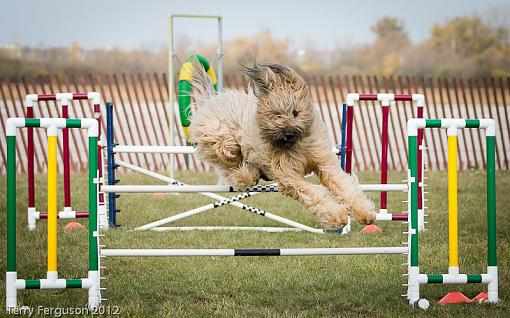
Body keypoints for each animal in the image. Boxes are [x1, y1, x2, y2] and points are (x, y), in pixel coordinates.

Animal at [189, 62, 376, 230]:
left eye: (295, 112)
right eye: (277, 114)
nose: (288, 133)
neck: (296, 146)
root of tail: (210, 100)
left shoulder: (323, 162)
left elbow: (343, 185)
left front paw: (365, 213)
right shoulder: (289, 175)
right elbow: (314, 195)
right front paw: (337, 217)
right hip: (221, 140)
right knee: (231, 161)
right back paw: (245, 174)